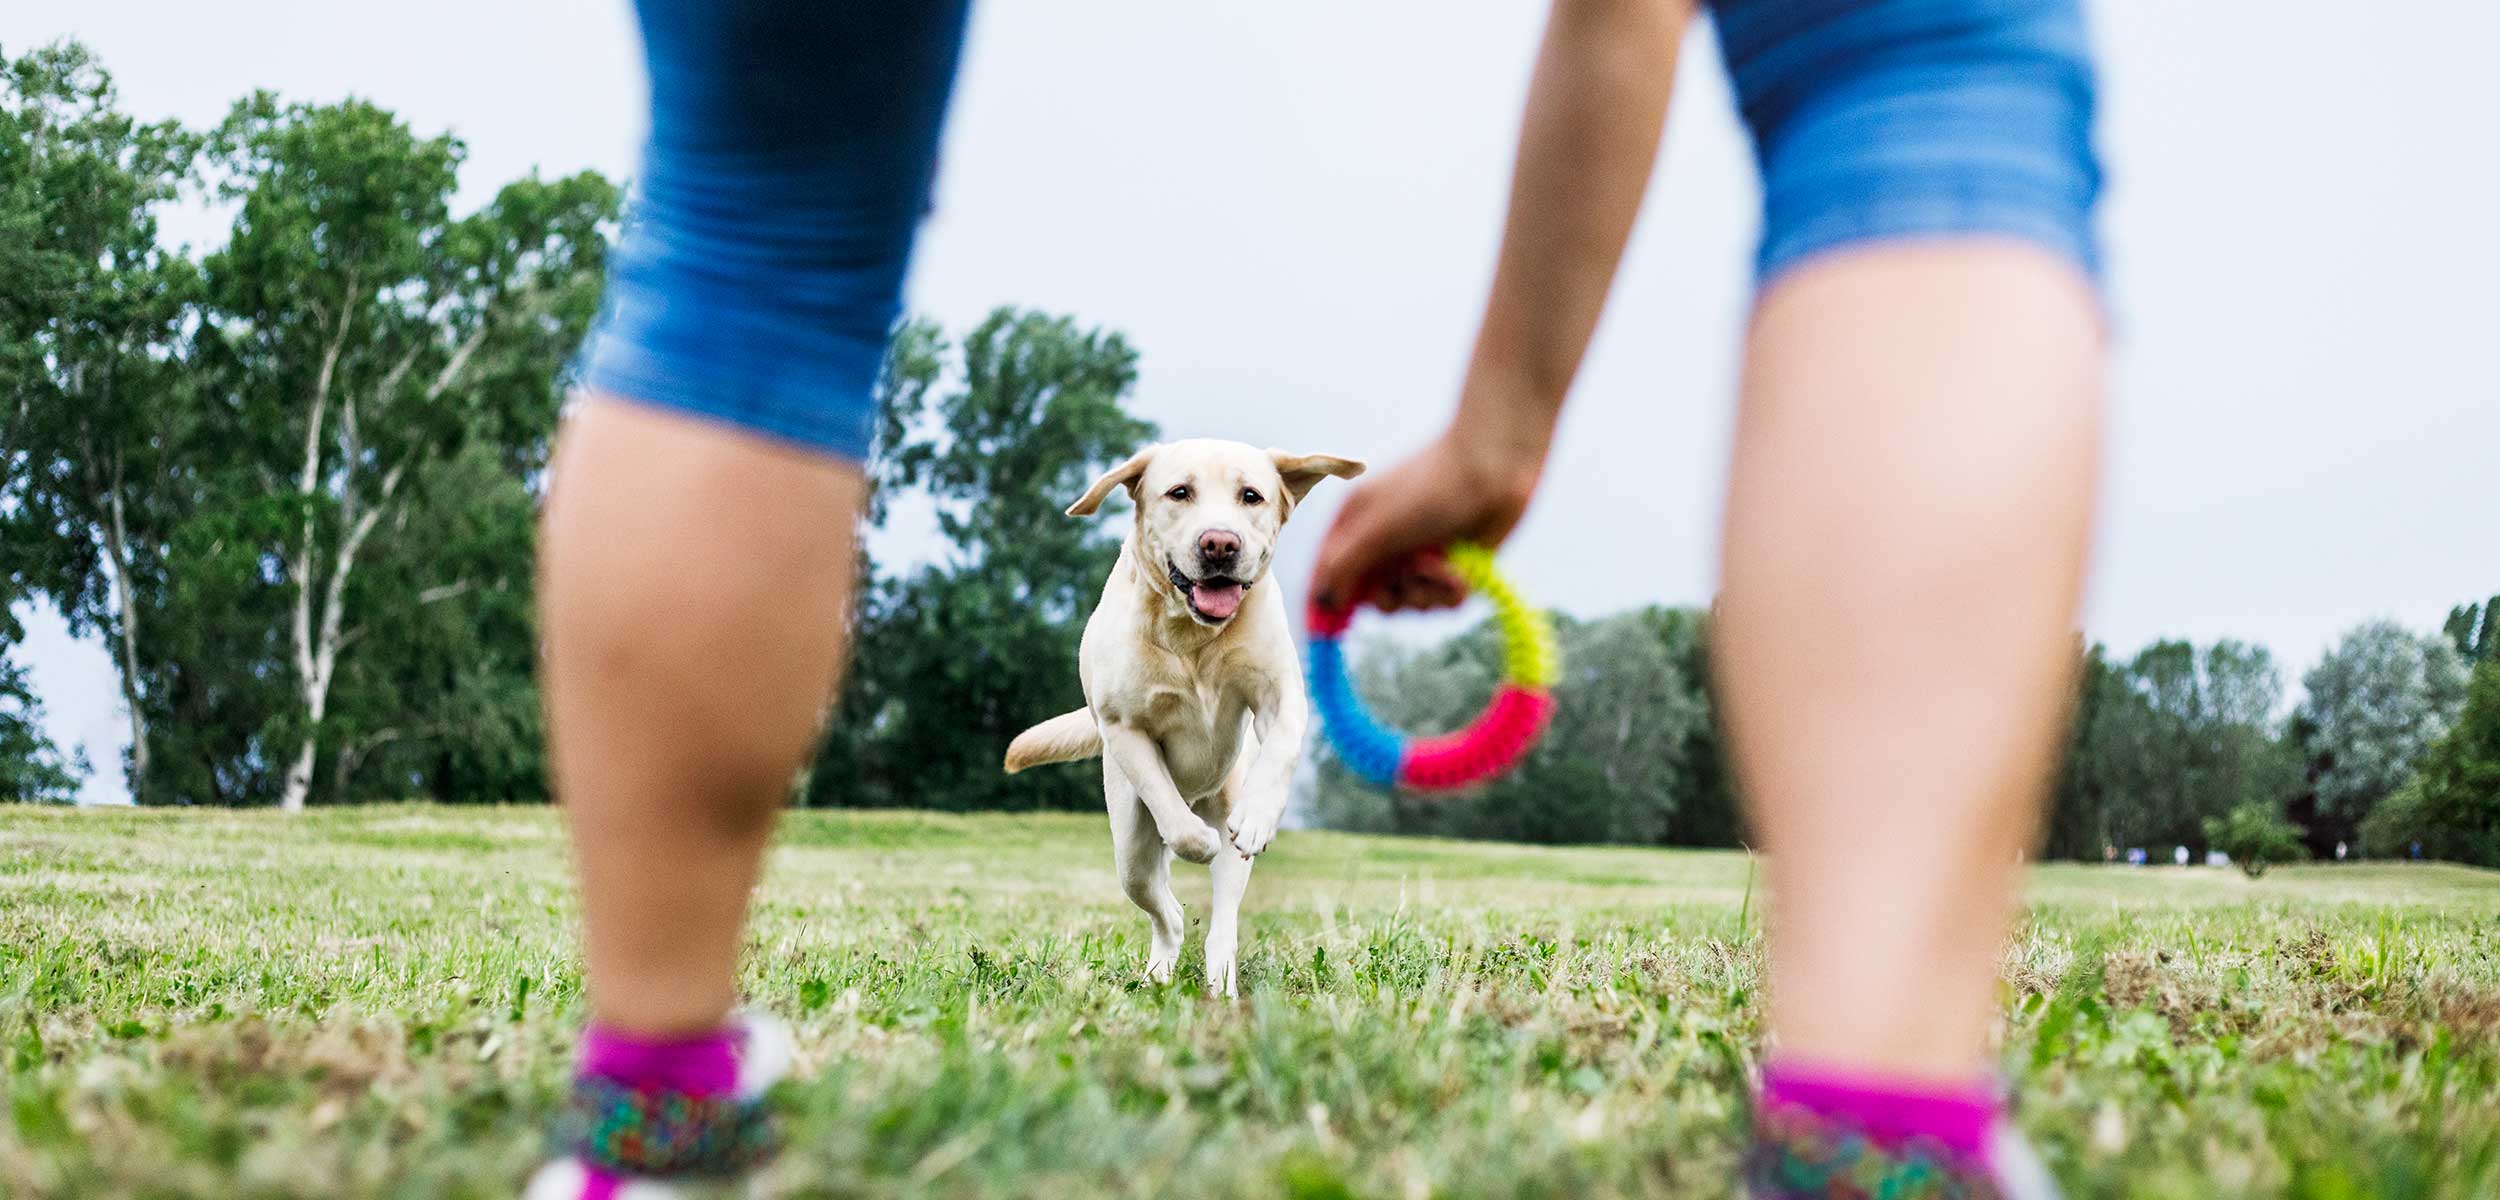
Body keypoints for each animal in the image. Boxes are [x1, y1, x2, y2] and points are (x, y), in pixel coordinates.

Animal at [1005, 437, 1370, 995]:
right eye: (1179, 492)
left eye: (1251, 496)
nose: (1220, 543)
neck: (1193, 634)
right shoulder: (1124, 728)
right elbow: (1168, 807)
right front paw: (1196, 842)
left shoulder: (1281, 695)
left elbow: (1281, 749)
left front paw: (1259, 817)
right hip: (1130, 851)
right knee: (1168, 909)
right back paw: (1160, 969)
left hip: (1228, 833)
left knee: (1223, 922)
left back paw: (1222, 984)